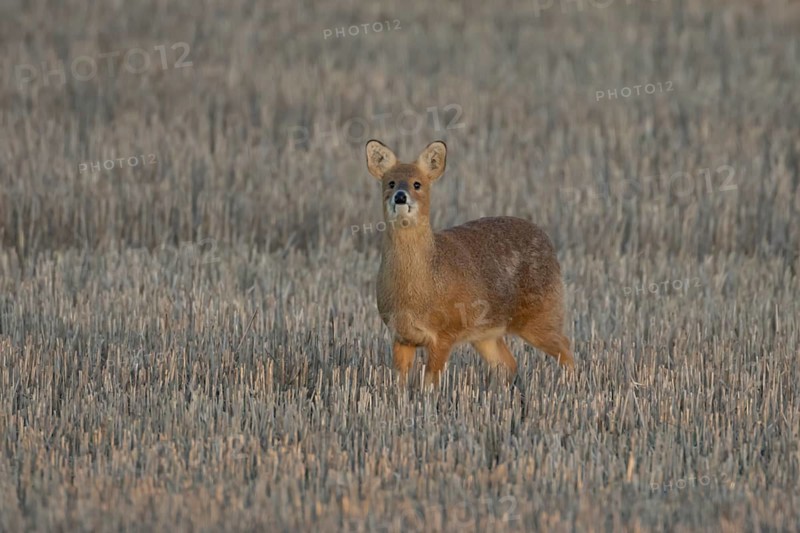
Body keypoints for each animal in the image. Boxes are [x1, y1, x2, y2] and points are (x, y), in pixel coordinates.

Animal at [365, 139, 575, 387]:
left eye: (417, 184)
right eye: (390, 182)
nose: (400, 196)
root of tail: (547, 240)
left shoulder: (445, 333)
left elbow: (430, 384)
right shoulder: (401, 336)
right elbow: (399, 382)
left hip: (542, 315)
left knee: (566, 348)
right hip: (486, 333)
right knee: (508, 363)